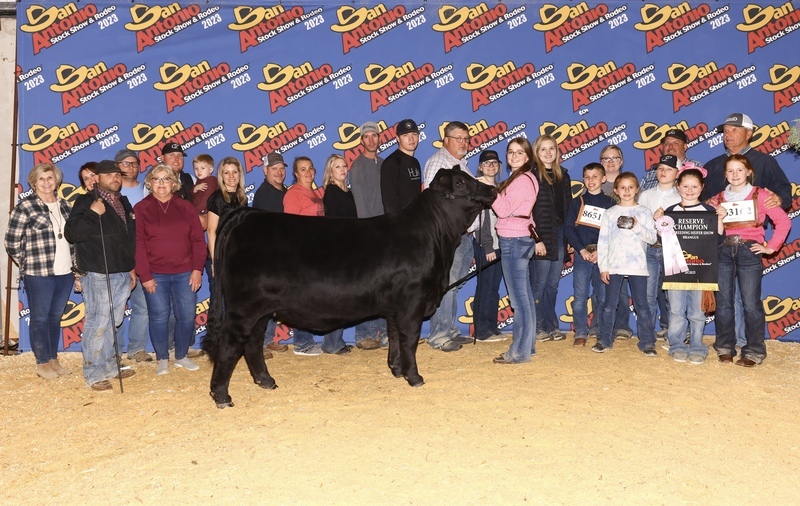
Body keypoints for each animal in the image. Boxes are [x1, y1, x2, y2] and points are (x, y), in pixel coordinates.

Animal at [203, 168, 496, 408]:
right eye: (461, 182)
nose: (492, 189)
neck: (433, 235)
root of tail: (246, 214)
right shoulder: (413, 302)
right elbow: (410, 339)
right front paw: (414, 377)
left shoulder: (395, 308)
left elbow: (395, 338)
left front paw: (396, 370)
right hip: (243, 308)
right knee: (231, 344)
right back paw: (222, 396)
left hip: (261, 310)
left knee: (252, 342)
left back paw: (266, 381)